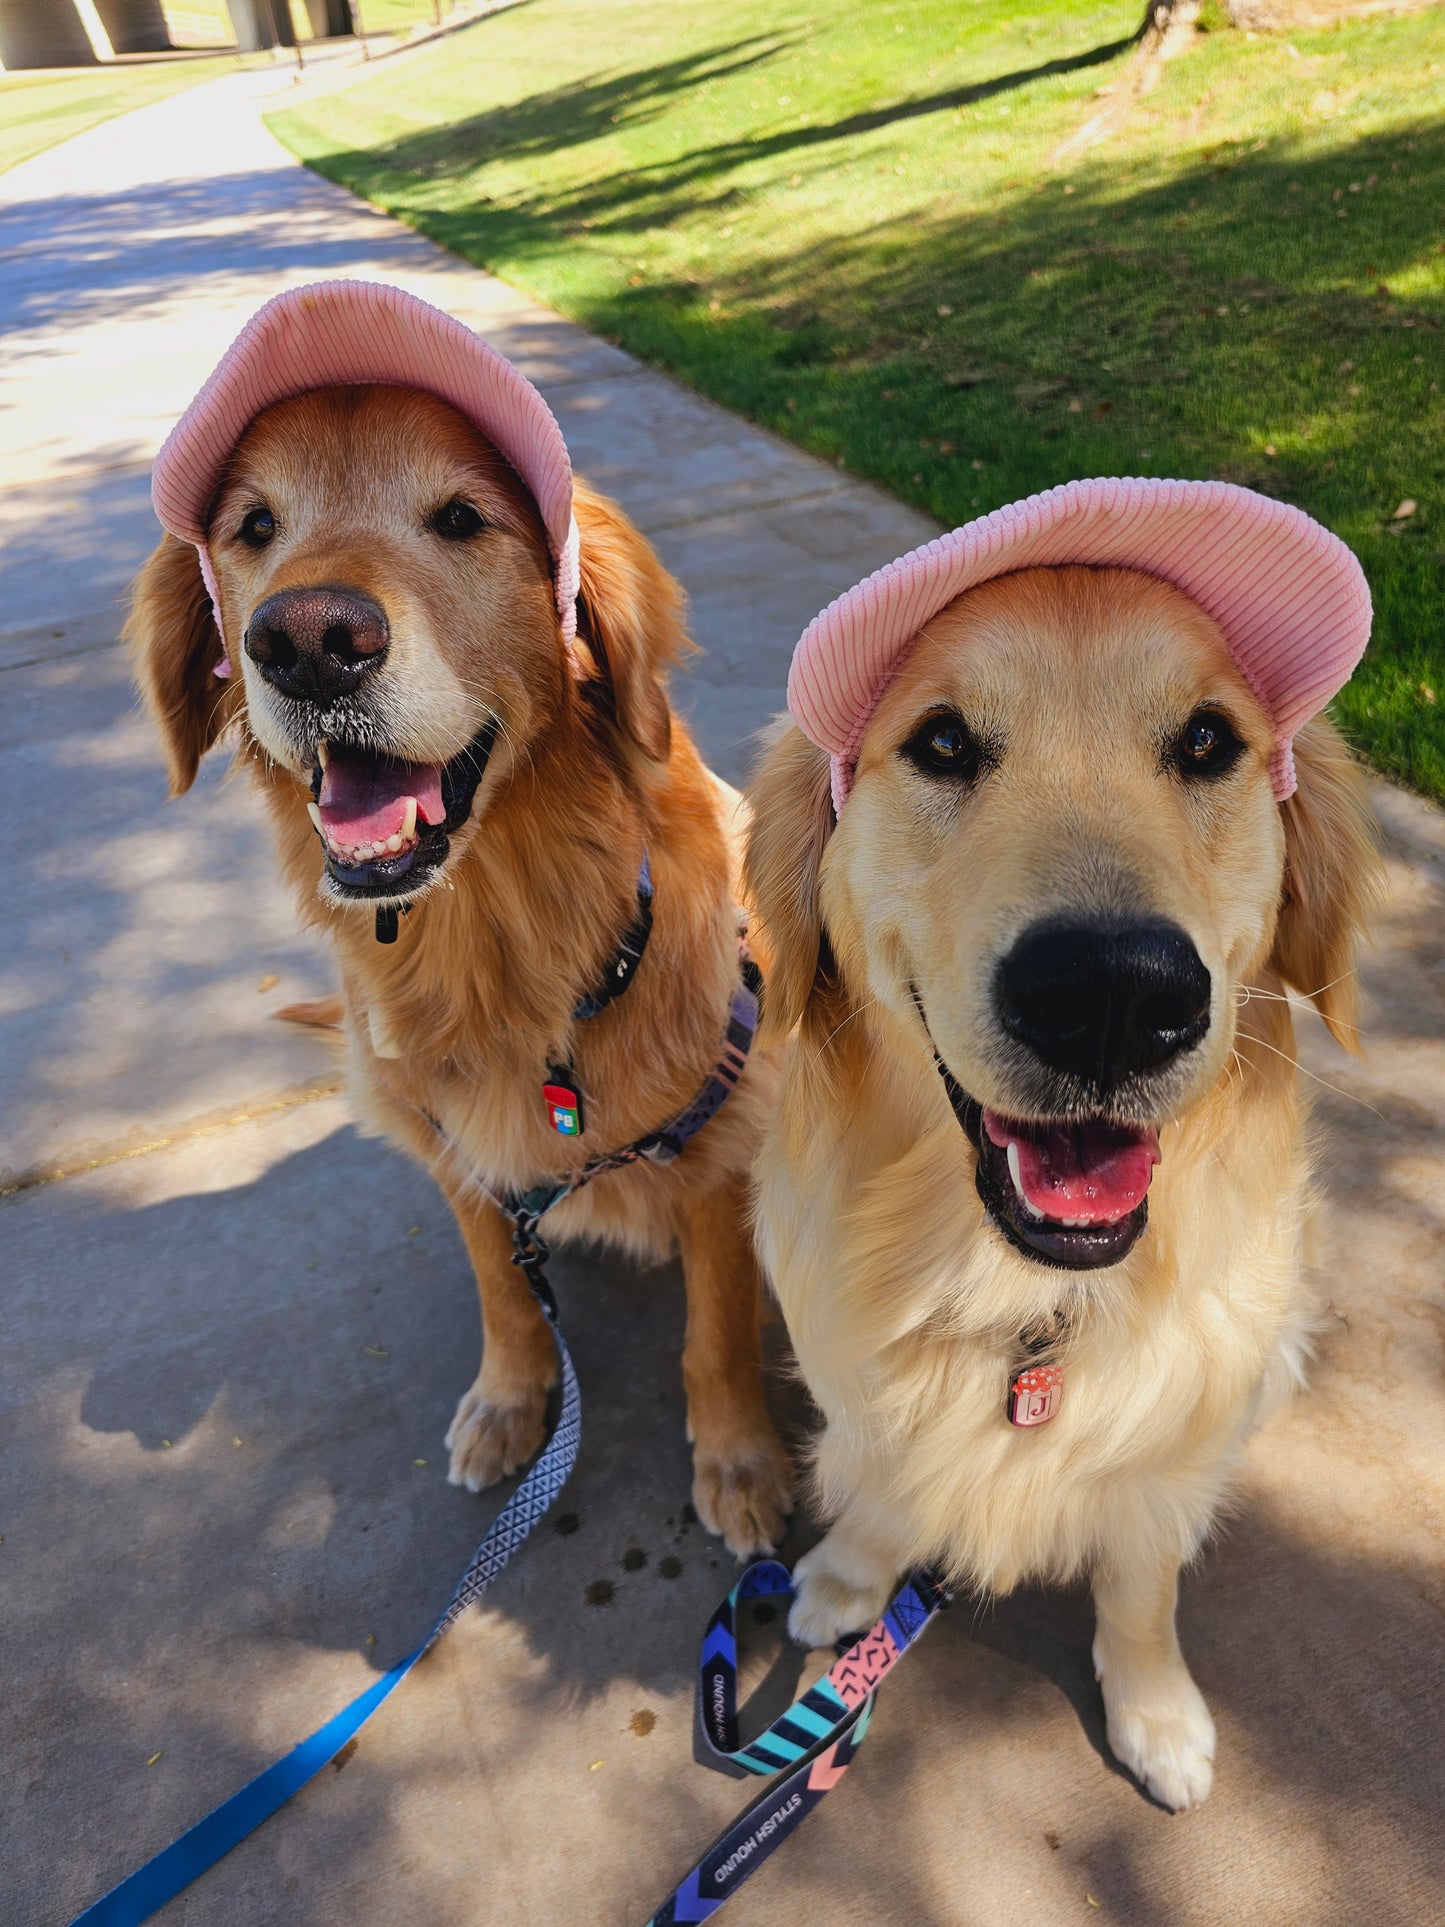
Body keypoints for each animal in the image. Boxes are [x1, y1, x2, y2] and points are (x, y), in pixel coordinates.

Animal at [129, 368, 797, 1557]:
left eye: (458, 518)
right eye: (253, 527)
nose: (308, 639)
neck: (502, 951)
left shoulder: (721, 1152)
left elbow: (715, 1334)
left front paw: (737, 1460)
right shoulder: (456, 1155)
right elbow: (500, 1285)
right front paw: (510, 1400)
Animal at [747, 554, 1379, 1803]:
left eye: (1206, 740)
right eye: (941, 742)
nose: (1110, 996)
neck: (1025, 1302)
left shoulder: (1164, 1457)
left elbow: (1140, 1589)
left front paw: (1154, 1711)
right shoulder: (861, 1387)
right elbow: (880, 1489)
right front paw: (847, 1581)